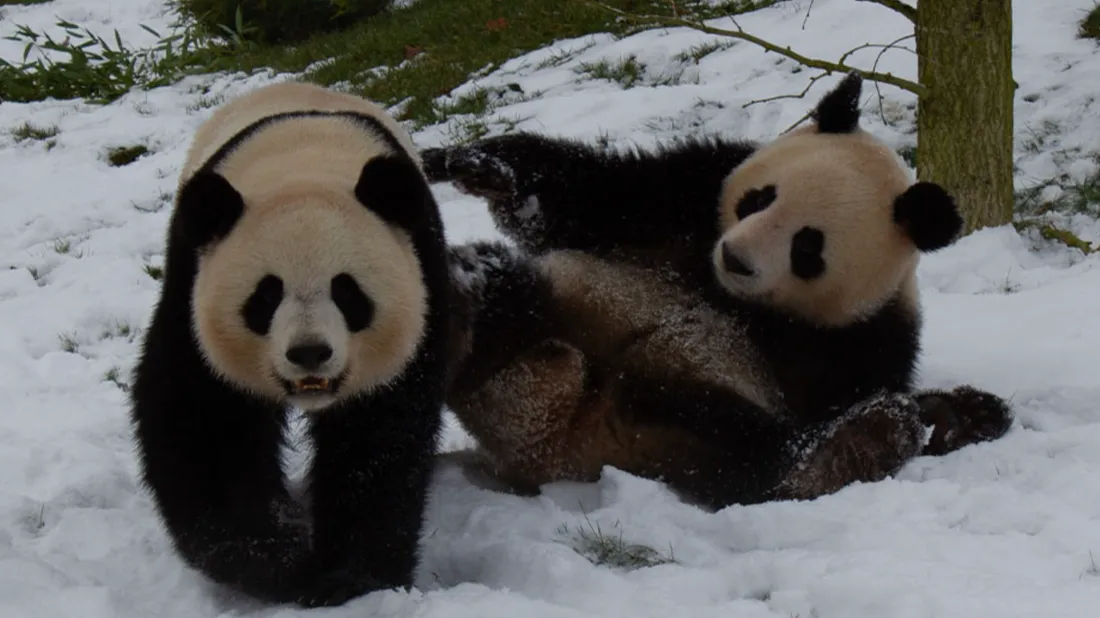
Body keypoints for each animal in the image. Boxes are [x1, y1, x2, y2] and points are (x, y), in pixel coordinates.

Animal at [129, 81, 460, 607]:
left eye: (347, 292)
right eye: (266, 295)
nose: (309, 353)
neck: (303, 163)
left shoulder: (422, 277)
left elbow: (379, 439)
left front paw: (349, 578)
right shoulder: (190, 282)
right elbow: (206, 425)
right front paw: (282, 565)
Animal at [428, 73, 1013, 509]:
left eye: (808, 247)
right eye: (760, 198)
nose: (734, 257)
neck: (725, 289)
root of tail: (558, 430)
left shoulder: (860, 335)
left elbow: (833, 397)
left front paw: (946, 417)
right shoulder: (688, 194)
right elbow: (587, 201)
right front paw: (487, 170)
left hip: (657, 434)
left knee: (739, 453)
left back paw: (869, 440)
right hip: (557, 328)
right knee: (522, 298)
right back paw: (481, 294)